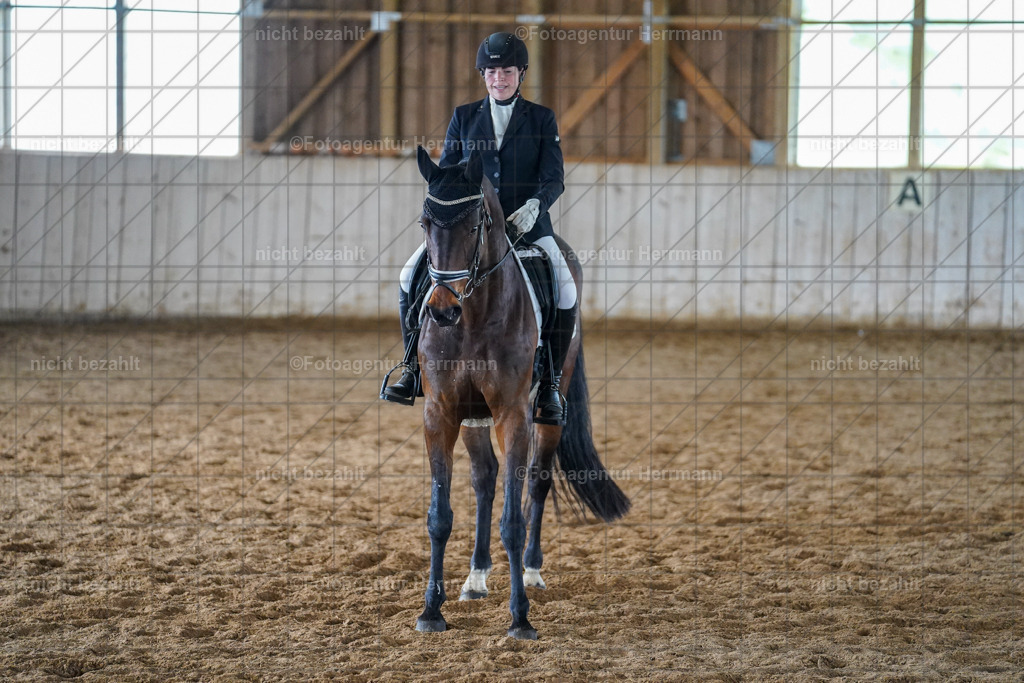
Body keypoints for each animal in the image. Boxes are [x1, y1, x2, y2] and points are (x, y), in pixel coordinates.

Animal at [408, 145, 630, 640]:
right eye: (425, 223)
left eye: (475, 225)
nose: (442, 312)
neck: (473, 316)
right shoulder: (440, 412)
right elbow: (439, 515)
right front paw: (431, 611)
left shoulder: (513, 414)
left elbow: (513, 518)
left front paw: (520, 617)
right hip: (473, 417)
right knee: (485, 479)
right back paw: (475, 576)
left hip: (547, 410)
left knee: (537, 481)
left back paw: (530, 571)